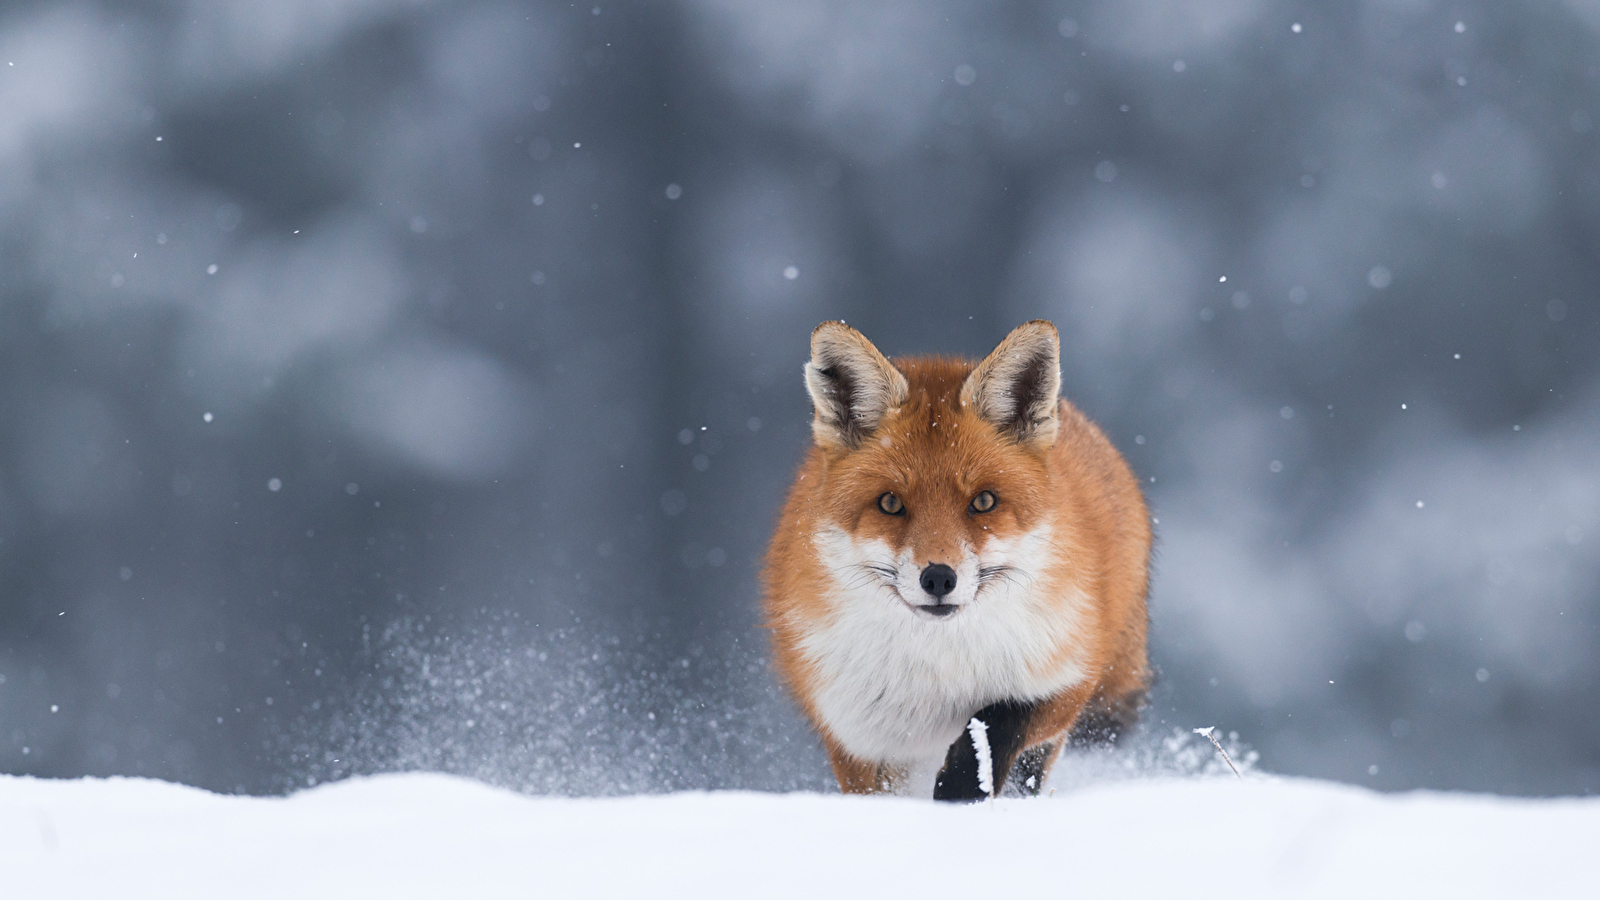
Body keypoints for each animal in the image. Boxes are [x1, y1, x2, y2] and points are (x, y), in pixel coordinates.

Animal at [761, 318, 1152, 794]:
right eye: (890, 503)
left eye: (983, 502)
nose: (938, 578)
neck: (939, 673)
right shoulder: (855, 737)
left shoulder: (1068, 674)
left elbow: (996, 725)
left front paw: (960, 791)